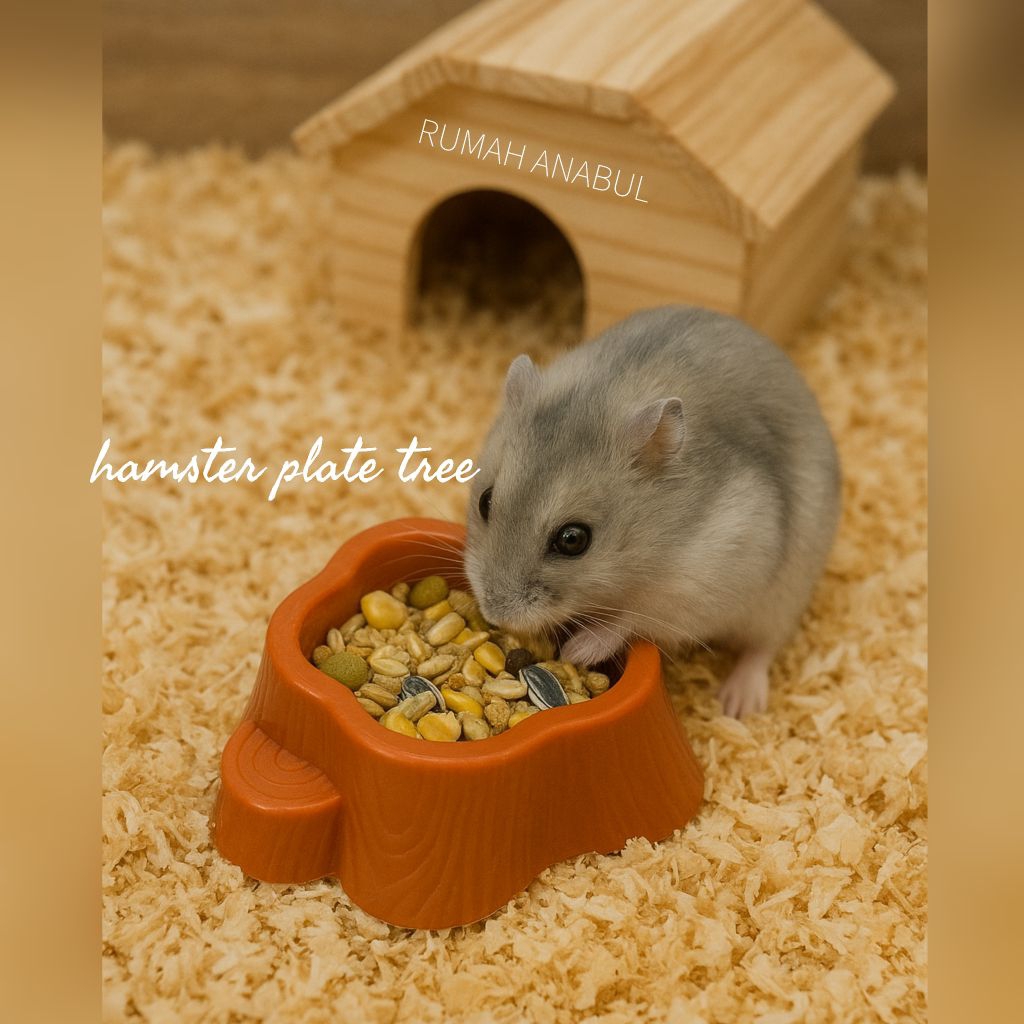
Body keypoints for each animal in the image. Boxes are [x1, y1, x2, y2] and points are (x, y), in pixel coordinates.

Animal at [463, 305, 841, 718]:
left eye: (573, 539)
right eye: (485, 502)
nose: (495, 614)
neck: (657, 543)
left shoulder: (706, 576)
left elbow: (633, 616)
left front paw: (578, 650)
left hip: (784, 597)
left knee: (762, 648)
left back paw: (737, 705)